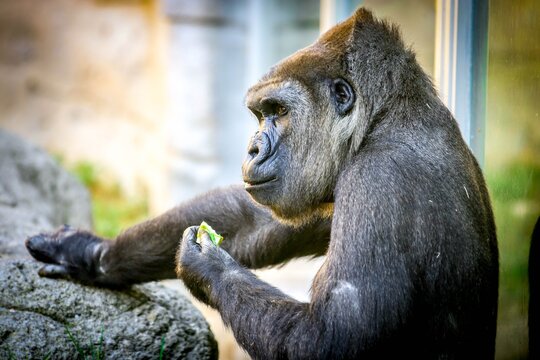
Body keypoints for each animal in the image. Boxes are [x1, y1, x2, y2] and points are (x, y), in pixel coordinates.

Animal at [25, 8, 498, 360]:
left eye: (279, 112)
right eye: (261, 114)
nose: (252, 148)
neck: (386, 118)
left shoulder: (377, 181)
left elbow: (329, 341)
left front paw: (208, 267)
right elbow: (255, 224)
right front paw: (89, 254)